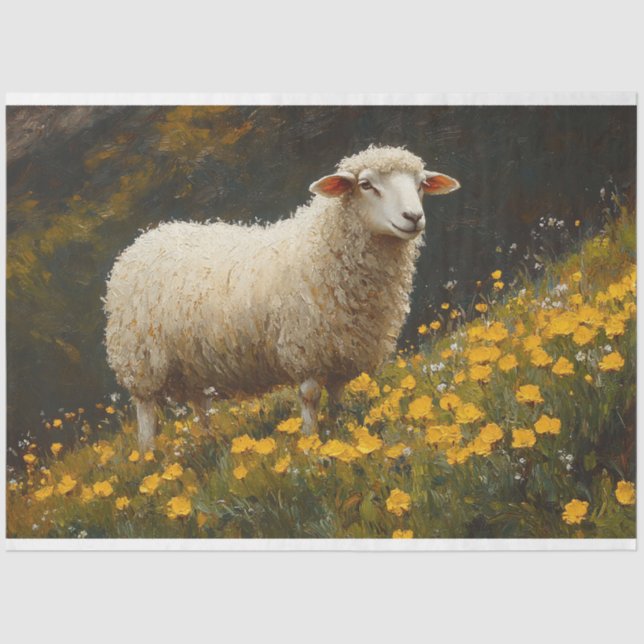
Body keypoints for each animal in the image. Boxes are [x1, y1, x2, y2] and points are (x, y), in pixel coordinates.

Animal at [104, 145, 460, 449]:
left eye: (421, 184)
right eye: (365, 185)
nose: (413, 217)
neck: (323, 245)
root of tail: (146, 238)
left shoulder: (343, 349)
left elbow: (338, 394)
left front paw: (340, 427)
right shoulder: (306, 346)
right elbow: (310, 396)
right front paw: (310, 439)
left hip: (193, 360)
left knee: (200, 404)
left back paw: (208, 440)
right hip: (140, 358)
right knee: (146, 411)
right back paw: (149, 456)